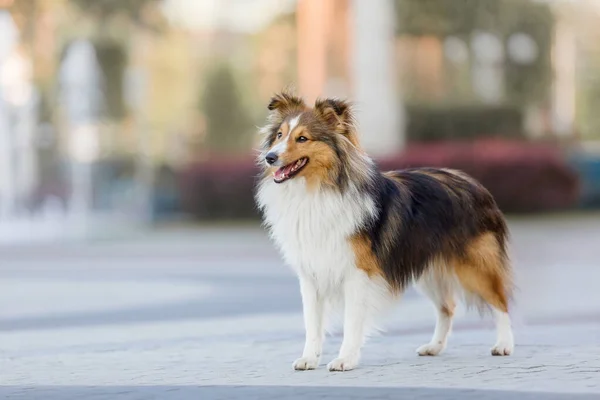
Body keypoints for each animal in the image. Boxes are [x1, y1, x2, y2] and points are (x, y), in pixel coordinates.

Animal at [255, 90, 512, 372]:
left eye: (302, 138)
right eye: (280, 135)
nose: (270, 157)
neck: (317, 192)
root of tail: (473, 182)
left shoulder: (357, 273)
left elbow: (352, 321)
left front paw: (345, 359)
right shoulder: (311, 274)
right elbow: (312, 323)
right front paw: (309, 359)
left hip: (475, 267)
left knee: (500, 302)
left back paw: (504, 345)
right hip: (428, 269)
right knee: (448, 308)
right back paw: (434, 347)